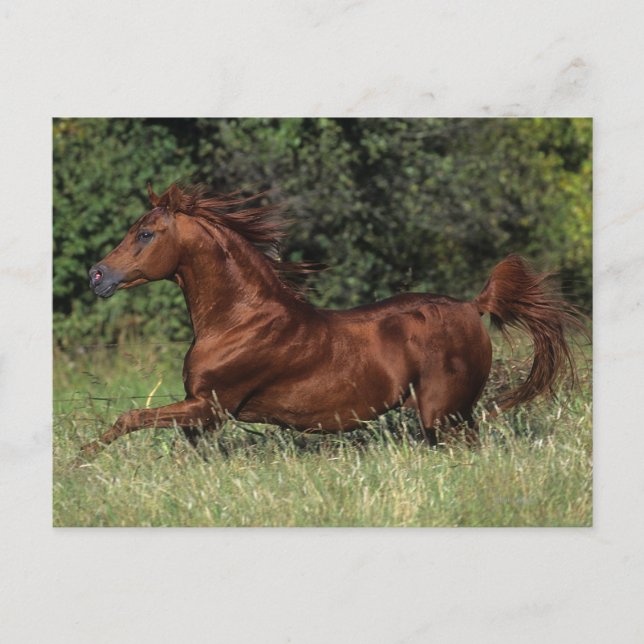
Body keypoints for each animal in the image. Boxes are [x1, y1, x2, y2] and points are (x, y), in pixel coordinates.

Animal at [82, 182, 584, 457]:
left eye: (145, 234)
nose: (96, 275)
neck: (239, 320)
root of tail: (472, 306)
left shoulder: (211, 406)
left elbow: (129, 417)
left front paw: (79, 460)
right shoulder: (200, 415)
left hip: (444, 415)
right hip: (450, 417)